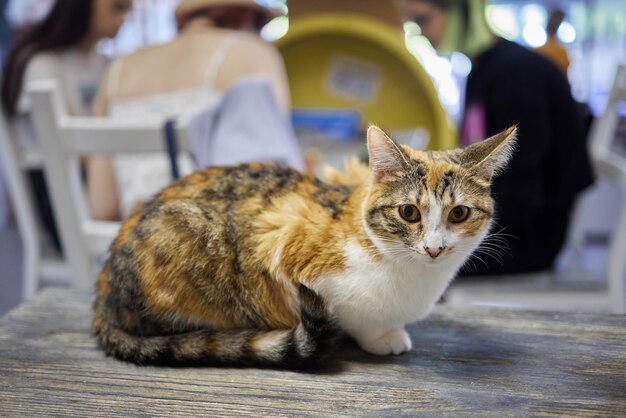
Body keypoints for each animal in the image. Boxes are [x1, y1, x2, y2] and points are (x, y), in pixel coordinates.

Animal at [91, 125, 512, 366]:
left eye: (458, 213)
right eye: (409, 212)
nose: (434, 248)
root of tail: (104, 291)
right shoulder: (285, 241)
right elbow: (349, 314)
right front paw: (381, 337)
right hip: (181, 237)